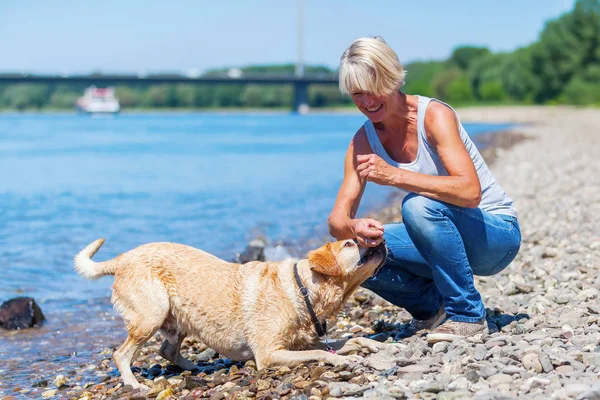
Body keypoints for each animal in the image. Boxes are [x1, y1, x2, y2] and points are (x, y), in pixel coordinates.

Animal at [74, 239, 390, 390]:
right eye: (349, 243)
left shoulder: (305, 341)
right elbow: (325, 352)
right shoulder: (268, 354)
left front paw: (374, 345)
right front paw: (344, 360)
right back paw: (133, 383)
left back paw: (194, 368)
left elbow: (348, 341)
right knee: (121, 354)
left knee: (167, 350)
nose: (382, 238)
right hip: (152, 313)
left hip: (178, 316)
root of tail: (122, 258)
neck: (302, 290)